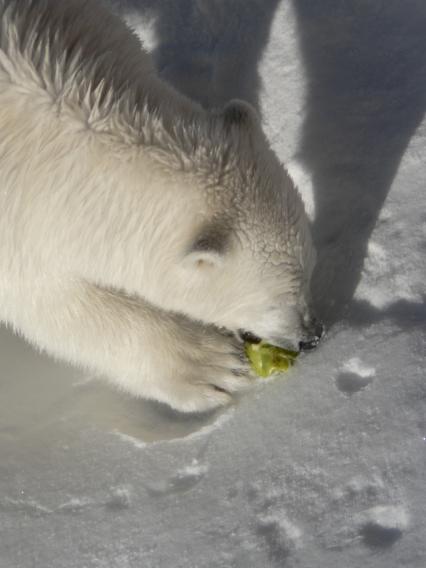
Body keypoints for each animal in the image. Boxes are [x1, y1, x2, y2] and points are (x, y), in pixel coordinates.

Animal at [0, 0, 322, 410]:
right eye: (278, 300)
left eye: (310, 271)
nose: (313, 336)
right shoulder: (16, 222)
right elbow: (51, 304)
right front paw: (213, 366)